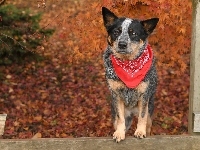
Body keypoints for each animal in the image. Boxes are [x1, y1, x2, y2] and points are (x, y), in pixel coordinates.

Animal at [102, 7, 159, 142]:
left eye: (133, 33)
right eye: (116, 32)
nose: (122, 44)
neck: (129, 65)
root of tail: (132, 111)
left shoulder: (144, 95)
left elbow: (142, 117)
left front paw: (140, 131)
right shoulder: (116, 95)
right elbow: (120, 118)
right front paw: (119, 133)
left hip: (150, 112)